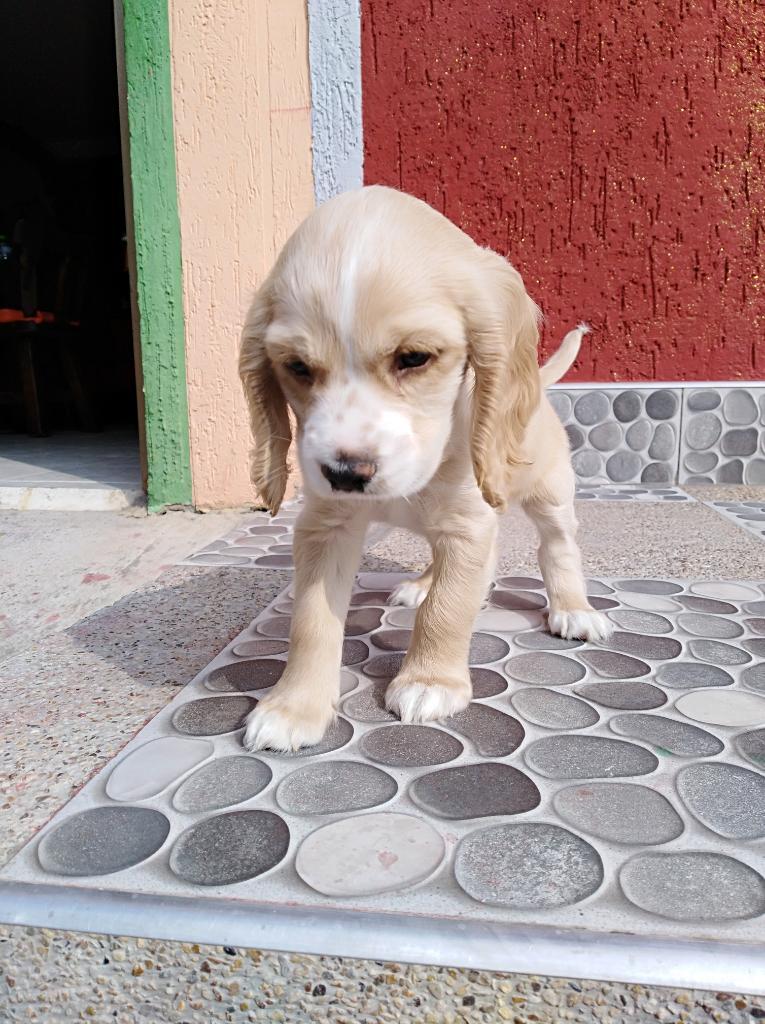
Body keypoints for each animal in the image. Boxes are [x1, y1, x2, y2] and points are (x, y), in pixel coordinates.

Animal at [237, 182, 610, 753]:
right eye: (297, 367)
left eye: (414, 358)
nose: (345, 474)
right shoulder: (326, 526)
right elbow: (311, 620)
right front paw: (293, 706)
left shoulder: (468, 520)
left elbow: (448, 608)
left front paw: (430, 682)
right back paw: (421, 584)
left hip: (549, 492)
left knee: (557, 546)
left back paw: (573, 607)